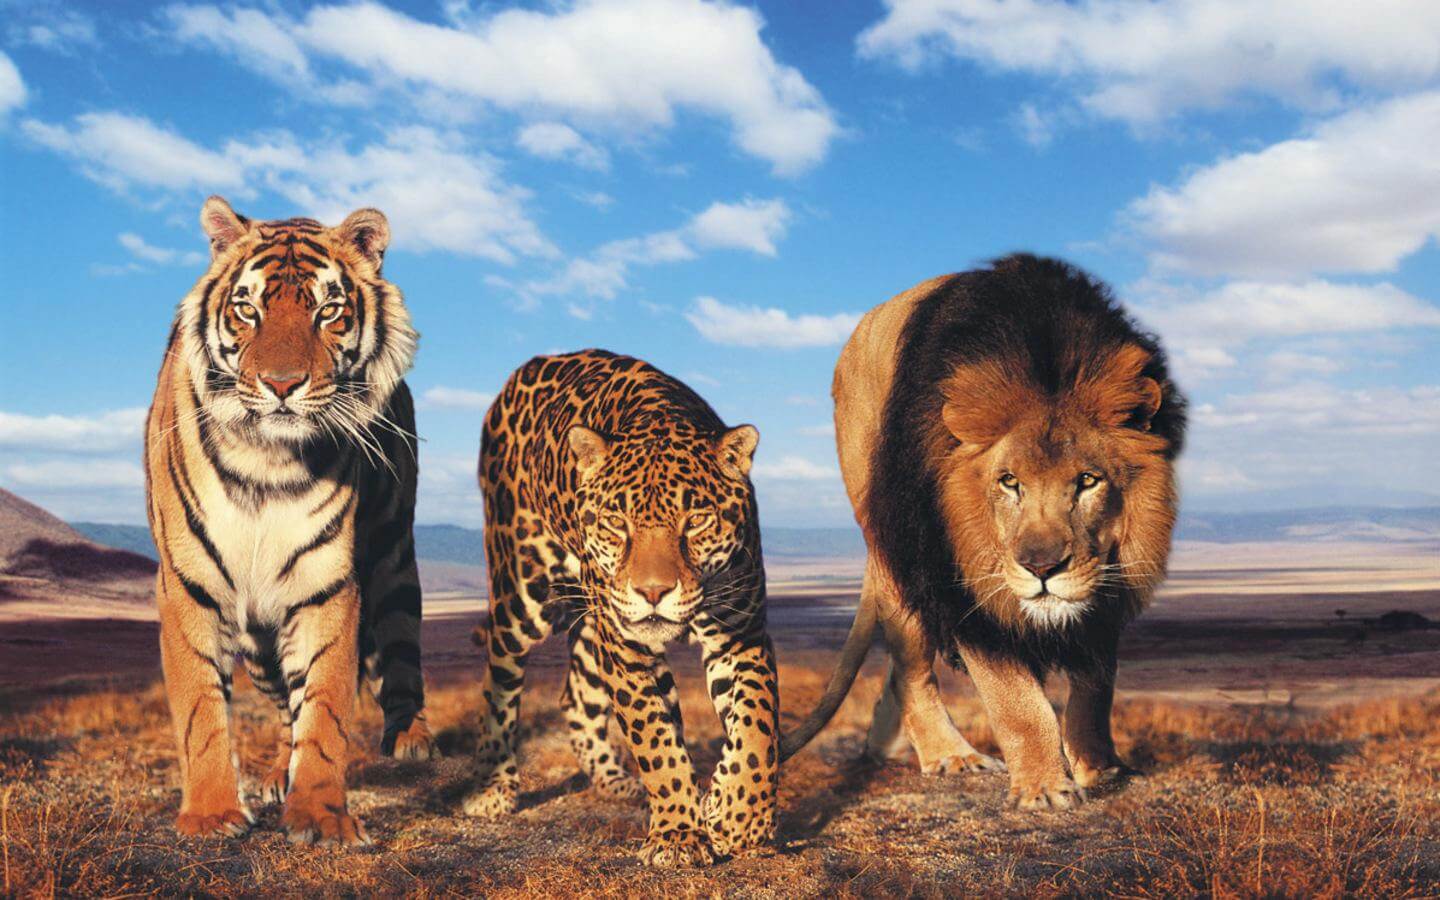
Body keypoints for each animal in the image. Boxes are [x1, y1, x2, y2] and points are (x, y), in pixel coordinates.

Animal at [143, 196, 434, 848]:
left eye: (328, 311)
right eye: (246, 309)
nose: (281, 385)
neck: (267, 461)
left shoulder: (327, 583)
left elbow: (324, 708)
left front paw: (321, 817)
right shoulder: (189, 583)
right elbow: (201, 707)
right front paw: (210, 815)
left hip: (394, 559)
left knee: (400, 647)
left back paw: (412, 739)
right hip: (257, 637)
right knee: (282, 705)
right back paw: (279, 772)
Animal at [461, 350, 780, 867]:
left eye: (696, 520)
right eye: (616, 521)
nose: (653, 592)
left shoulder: (741, 635)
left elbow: (756, 725)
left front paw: (737, 816)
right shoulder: (627, 649)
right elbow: (655, 739)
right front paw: (678, 835)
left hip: (594, 623)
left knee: (577, 695)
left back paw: (615, 781)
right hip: (522, 593)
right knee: (500, 681)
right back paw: (493, 788)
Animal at [781, 254, 1187, 809]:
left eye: (1087, 480)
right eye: (1009, 482)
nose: (1041, 568)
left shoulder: (1104, 584)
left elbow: (1096, 687)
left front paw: (1099, 768)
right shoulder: (960, 582)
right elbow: (1016, 702)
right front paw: (1044, 788)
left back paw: (884, 743)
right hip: (890, 541)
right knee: (912, 668)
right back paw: (950, 755)